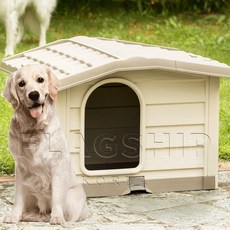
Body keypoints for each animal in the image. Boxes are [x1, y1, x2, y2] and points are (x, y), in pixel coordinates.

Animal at [1, 64, 88, 225]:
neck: (34, 128)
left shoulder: (57, 165)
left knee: (72, 216)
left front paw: (57, 217)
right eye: (21, 83)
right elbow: (18, 197)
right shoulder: (20, 167)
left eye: (40, 79)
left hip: (74, 196)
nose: (34, 94)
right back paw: (29, 215)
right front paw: (14, 215)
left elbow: (56, 197)